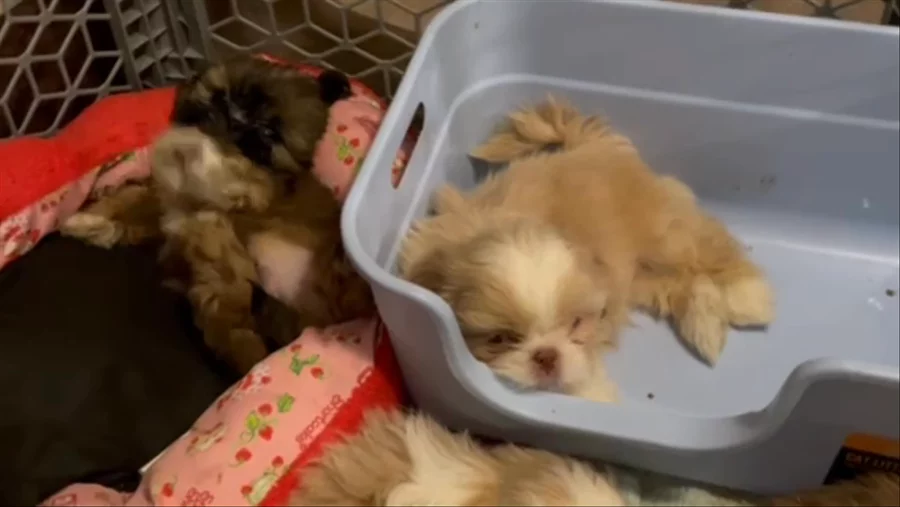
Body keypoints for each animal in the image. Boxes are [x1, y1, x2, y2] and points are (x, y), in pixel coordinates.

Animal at [400, 96, 773, 398]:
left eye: (576, 324)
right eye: (499, 339)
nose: (546, 356)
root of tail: (590, 146)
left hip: (663, 234)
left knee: (708, 249)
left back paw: (747, 297)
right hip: (637, 279)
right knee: (684, 283)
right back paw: (705, 324)